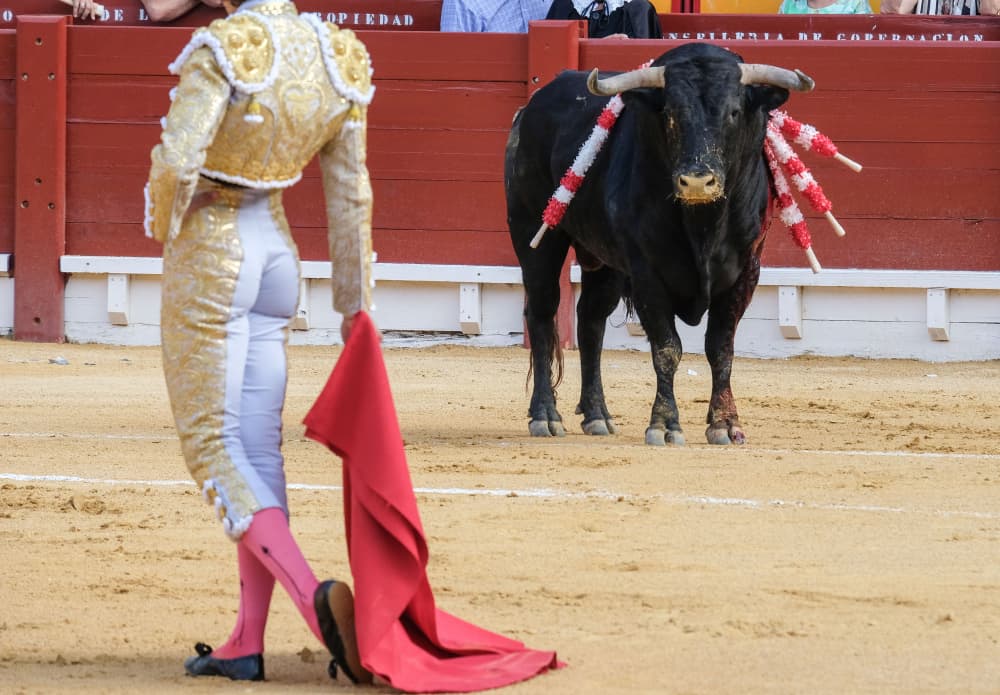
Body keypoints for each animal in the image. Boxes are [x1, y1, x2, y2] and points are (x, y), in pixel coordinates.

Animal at [508, 42, 812, 446]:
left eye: (734, 111)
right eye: (669, 113)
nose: (697, 182)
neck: (702, 225)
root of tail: (530, 108)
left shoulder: (746, 271)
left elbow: (721, 348)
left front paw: (725, 424)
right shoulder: (646, 273)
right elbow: (667, 348)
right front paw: (665, 424)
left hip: (605, 263)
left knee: (590, 320)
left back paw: (597, 415)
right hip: (535, 235)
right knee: (542, 315)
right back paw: (545, 415)